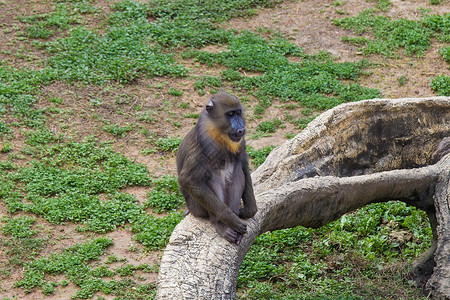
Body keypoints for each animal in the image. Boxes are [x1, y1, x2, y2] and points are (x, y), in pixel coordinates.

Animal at [178, 91, 258, 244]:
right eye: (230, 114)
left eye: (238, 113)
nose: (241, 129)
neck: (220, 133)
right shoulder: (203, 142)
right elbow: (188, 179)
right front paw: (231, 220)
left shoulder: (240, 144)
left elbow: (243, 165)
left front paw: (247, 211)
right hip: (197, 207)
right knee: (209, 177)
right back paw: (222, 224)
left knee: (238, 171)